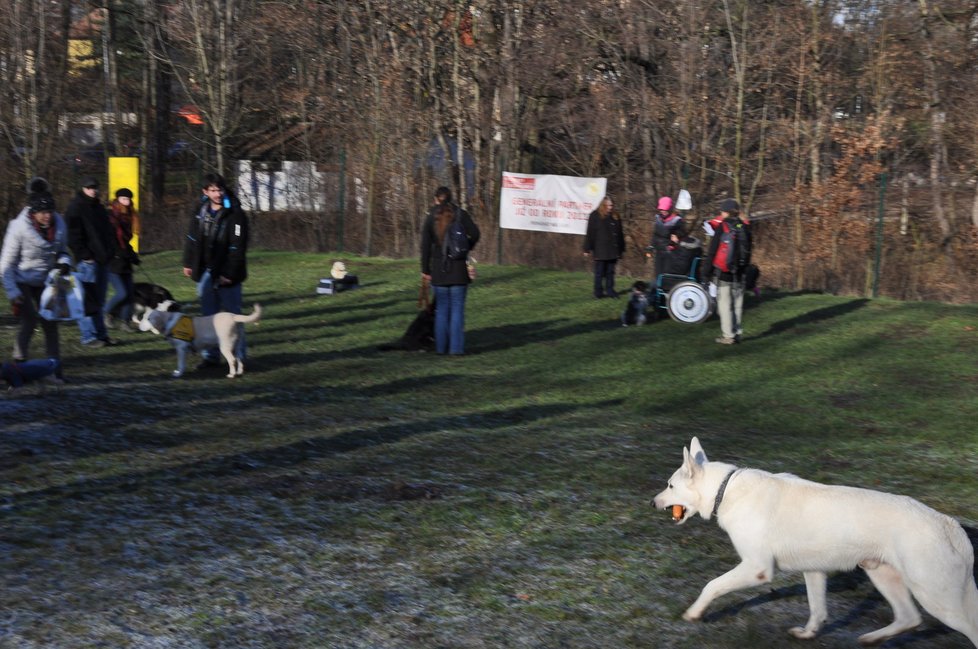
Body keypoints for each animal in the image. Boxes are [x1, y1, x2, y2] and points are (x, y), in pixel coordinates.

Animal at [648, 438, 976, 644]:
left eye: (670, 486)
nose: (652, 502)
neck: (724, 490)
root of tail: (949, 525)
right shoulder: (814, 571)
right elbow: (818, 611)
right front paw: (808, 635)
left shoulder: (757, 568)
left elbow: (711, 585)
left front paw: (694, 613)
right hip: (884, 576)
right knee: (909, 619)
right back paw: (872, 638)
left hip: (936, 597)